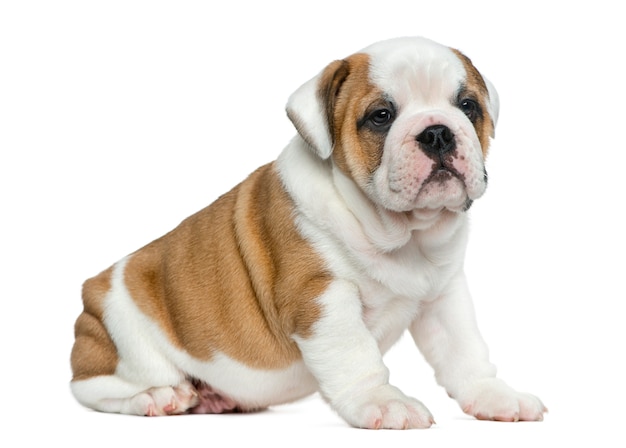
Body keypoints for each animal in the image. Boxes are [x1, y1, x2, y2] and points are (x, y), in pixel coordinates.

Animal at [70, 36, 544, 428]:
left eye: (468, 107)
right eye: (381, 116)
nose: (438, 132)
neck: (404, 233)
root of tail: (90, 296)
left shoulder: (444, 296)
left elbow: (465, 350)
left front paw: (494, 395)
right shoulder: (321, 296)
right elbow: (357, 357)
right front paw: (384, 401)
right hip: (122, 342)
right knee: (93, 388)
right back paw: (156, 396)